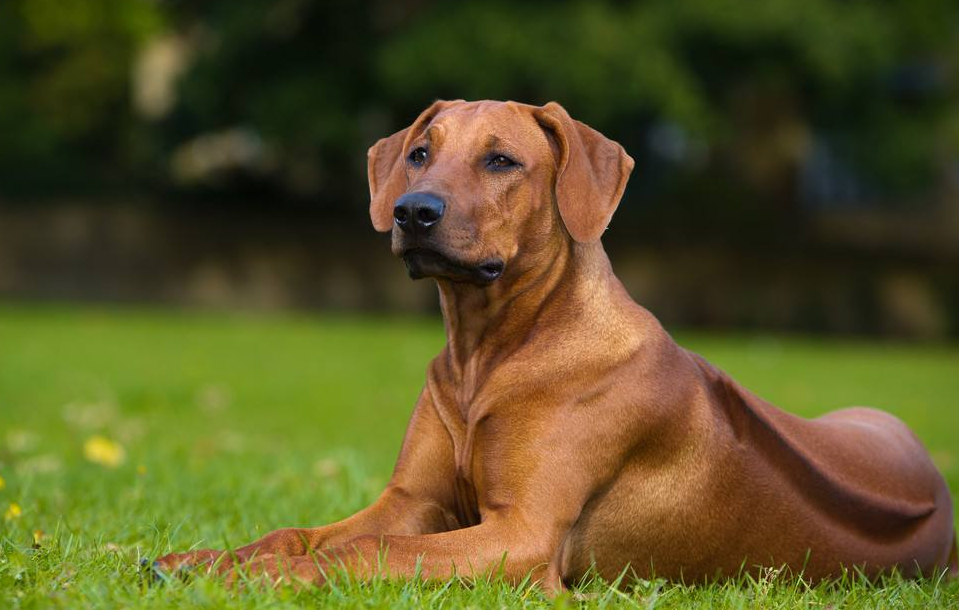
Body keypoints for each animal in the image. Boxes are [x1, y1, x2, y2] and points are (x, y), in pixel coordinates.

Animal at [154, 101, 956, 588]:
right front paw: (208, 557)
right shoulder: (411, 499)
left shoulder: (524, 535)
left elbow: (372, 548)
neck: (488, 354)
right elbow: (301, 531)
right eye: (418, 154)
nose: (413, 211)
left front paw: (252, 577)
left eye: (501, 161)